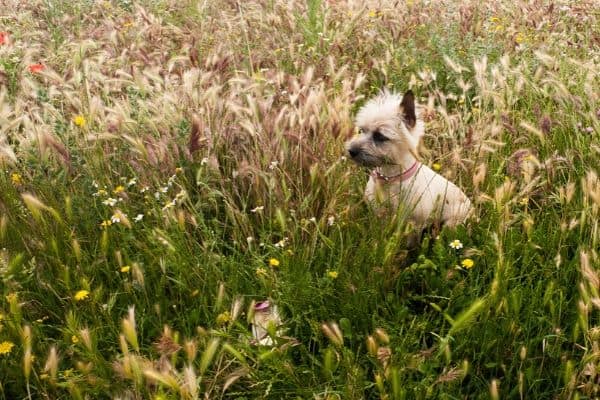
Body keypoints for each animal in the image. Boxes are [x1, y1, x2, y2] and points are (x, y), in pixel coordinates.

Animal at [344, 90, 472, 234]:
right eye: (361, 130)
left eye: (380, 136)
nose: (351, 150)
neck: (389, 178)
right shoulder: (378, 215)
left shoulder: (413, 225)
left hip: (451, 224)